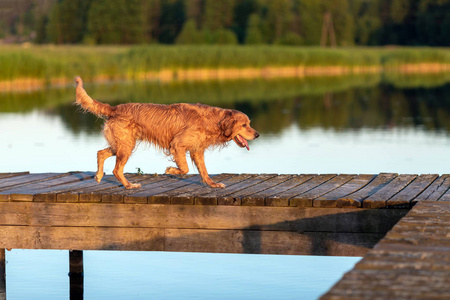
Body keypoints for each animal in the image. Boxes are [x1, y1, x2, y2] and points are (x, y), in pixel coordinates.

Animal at [75, 77, 260, 190]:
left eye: (249, 124)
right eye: (244, 125)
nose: (257, 134)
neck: (213, 121)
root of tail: (114, 108)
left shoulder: (197, 150)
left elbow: (204, 171)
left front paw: (213, 184)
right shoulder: (178, 145)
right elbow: (184, 168)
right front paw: (171, 170)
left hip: (121, 144)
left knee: (101, 153)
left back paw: (99, 175)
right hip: (126, 145)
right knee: (116, 170)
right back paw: (129, 185)